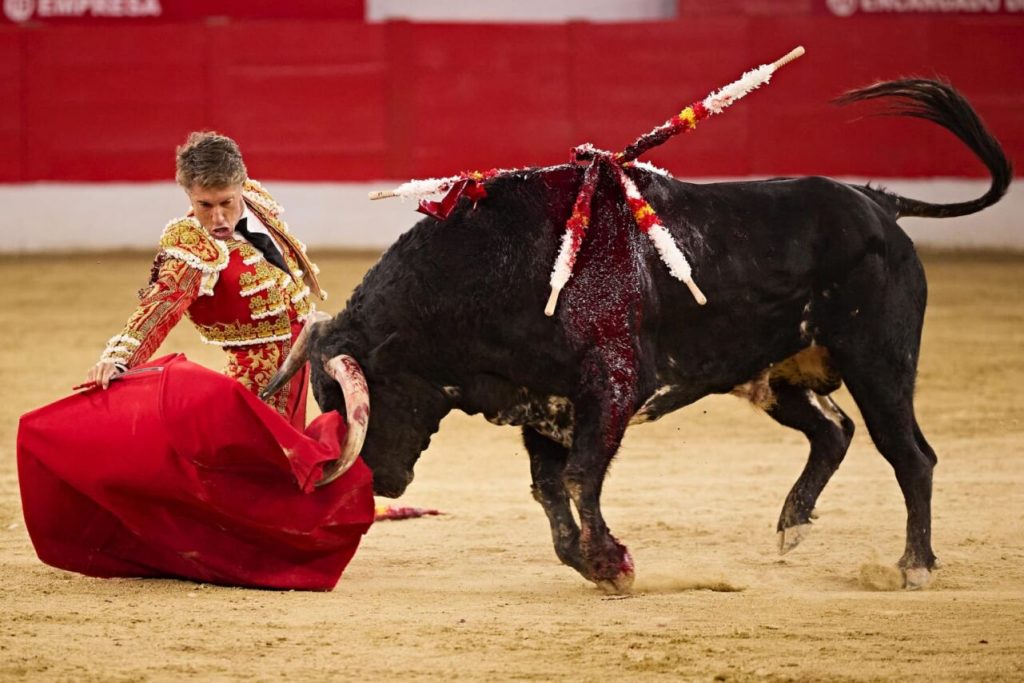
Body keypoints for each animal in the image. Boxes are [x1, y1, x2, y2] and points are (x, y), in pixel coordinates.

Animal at [268, 81, 1011, 593]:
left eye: (366, 393)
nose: (377, 478)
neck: (495, 269)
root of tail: (875, 203)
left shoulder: (615, 386)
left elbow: (580, 477)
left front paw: (614, 563)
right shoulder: (545, 408)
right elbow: (552, 491)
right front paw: (596, 563)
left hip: (879, 361)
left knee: (909, 453)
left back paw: (914, 566)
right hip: (773, 371)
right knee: (833, 430)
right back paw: (792, 527)